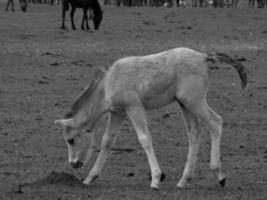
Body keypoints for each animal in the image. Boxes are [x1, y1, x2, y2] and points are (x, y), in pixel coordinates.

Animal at [55, 47, 249, 189]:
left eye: (70, 140)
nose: (73, 164)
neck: (109, 83)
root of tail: (203, 57)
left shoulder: (134, 107)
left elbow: (144, 139)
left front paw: (156, 179)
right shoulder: (118, 113)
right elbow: (107, 141)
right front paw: (90, 178)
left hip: (194, 101)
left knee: (215, 122)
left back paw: (219, 174)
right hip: (184, 104)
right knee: (194, 133)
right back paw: (183, 180)